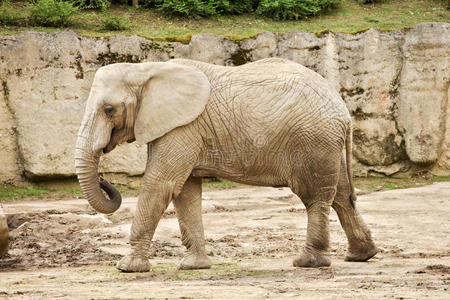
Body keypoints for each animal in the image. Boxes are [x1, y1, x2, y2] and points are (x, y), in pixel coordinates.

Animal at [75, 57, 378, 274]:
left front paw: (127, 268)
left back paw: (308, 262)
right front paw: (193, 266)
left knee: (315, 196)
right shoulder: (182, 129)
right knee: (341, 195)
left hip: (313, 140)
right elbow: (185, 192)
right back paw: (361, 256)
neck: (145, 69)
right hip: (326, 144)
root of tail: (344, 111)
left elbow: (160, 185)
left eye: (109, 110)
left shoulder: (182, 128)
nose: (104, 179)